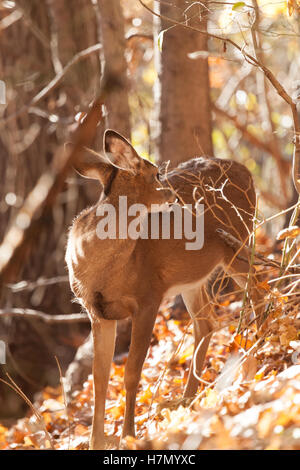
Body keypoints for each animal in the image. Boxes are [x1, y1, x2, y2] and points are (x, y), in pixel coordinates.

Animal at [66, 127, 262, 448]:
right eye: (156, 173)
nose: (174, 196)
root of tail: (246, 170)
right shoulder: (98, 313)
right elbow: (99, 377)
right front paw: (97, 441)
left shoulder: (149, 296)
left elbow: (132, 371)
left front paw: (128, 435)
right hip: (194, 276)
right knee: (207, 321)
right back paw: (187, 399)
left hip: (238, 244)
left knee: (258, 292)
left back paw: (253, 366)